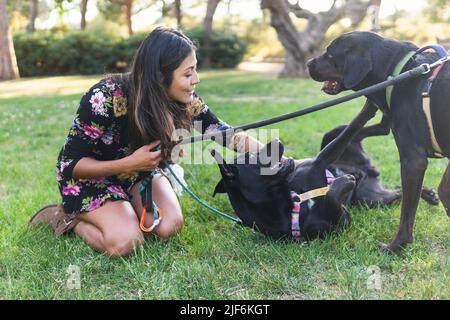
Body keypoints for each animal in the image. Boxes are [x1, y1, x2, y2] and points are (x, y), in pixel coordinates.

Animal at [211, 102, 376, 240]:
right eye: (250, 156)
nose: (276, 140)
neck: (292, 206)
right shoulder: (342, 220)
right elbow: (331, 194)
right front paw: (344, 180)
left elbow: (352, 127)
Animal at [310, 31, 450, 252]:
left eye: (330, 54)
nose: (308, 63)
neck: (399, 69)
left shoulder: (413, 161)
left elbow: (406, 215)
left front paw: (396, 246)